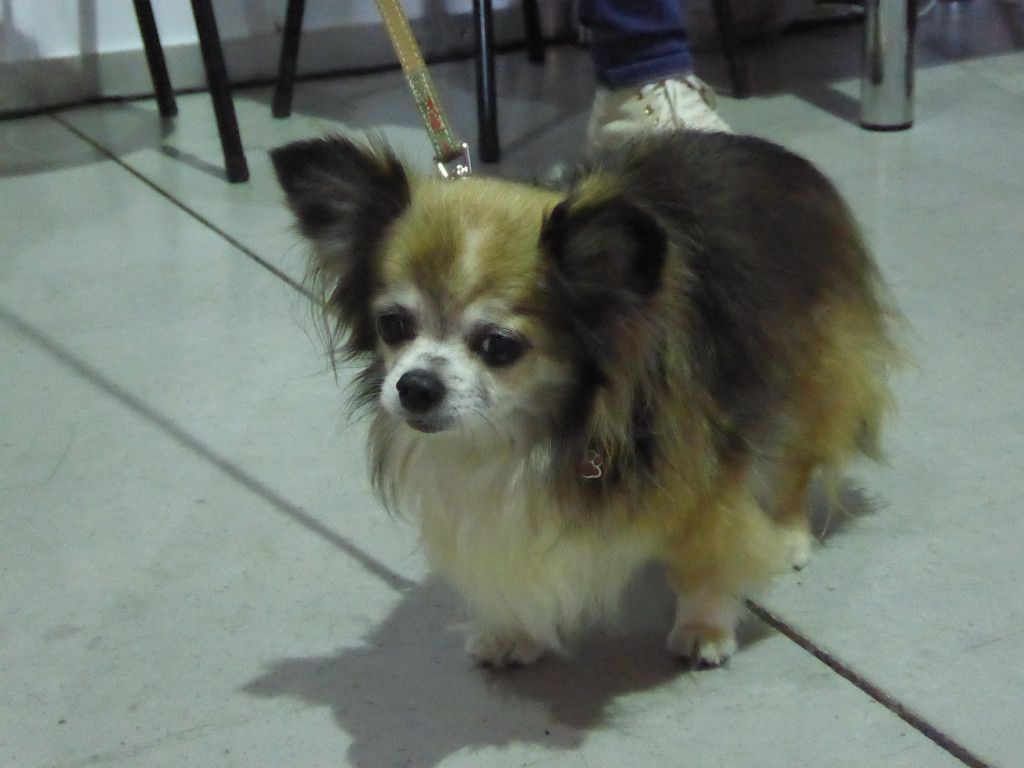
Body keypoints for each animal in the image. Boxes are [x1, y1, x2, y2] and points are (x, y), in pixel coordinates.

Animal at [271, 131, 899, 669]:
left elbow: (707, 554)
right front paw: (512, 631)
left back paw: (789, 534)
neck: (540, 431)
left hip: (805, 376)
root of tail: (777, 156)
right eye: (393, 325)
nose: (416, 386)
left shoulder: (702, 469)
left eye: (499, 346)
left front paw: (705, 627)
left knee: (795, 461)